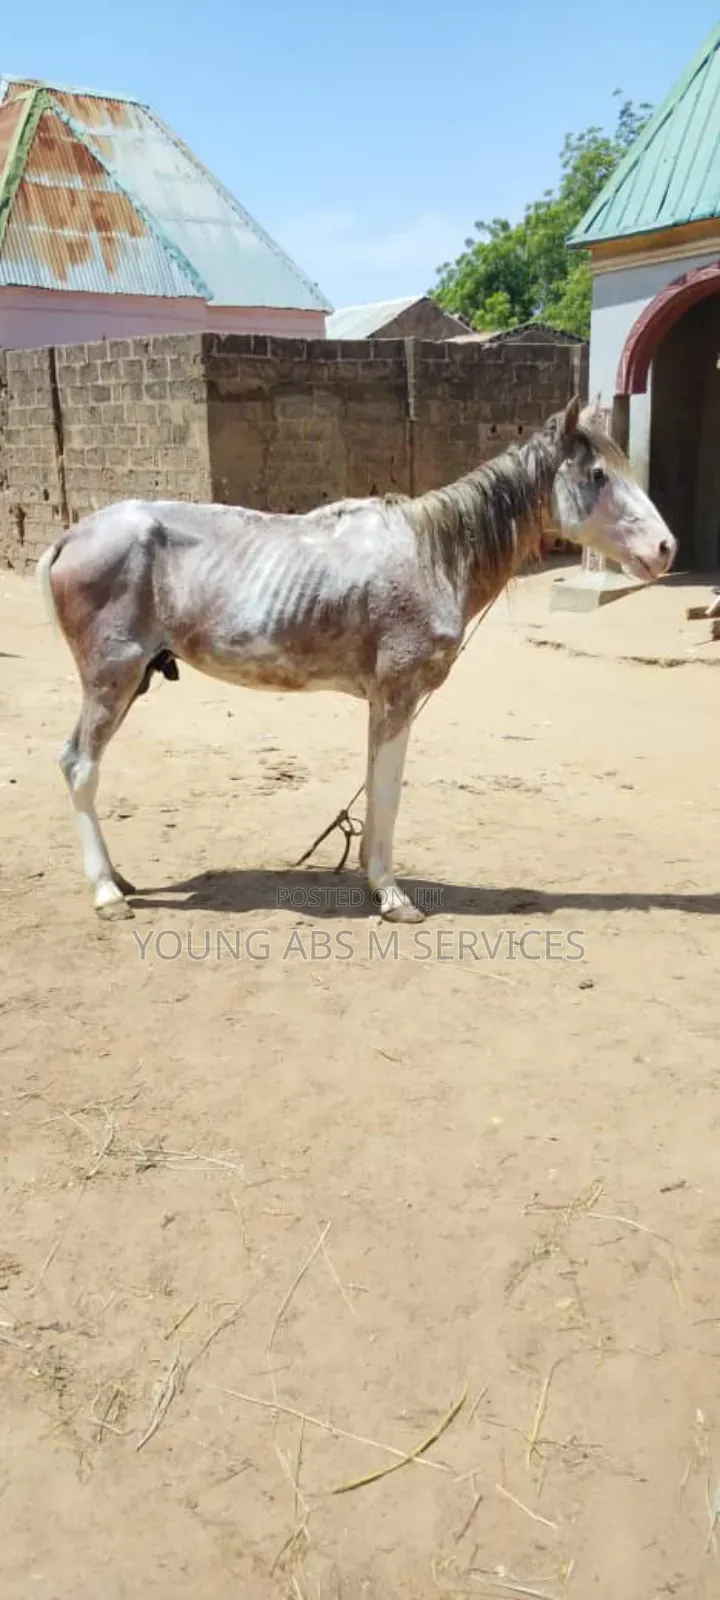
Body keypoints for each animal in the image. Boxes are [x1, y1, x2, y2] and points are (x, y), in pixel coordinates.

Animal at [36, 396, 676, 924]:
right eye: (597, 475)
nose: (666, 549)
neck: (432, 555)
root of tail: (74, 537)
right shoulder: (397, 694)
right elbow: (388, 791)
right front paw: (392, 897)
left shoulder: (383, 702)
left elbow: (373, 785)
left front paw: (372, 877)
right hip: (111, 679)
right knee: (79, 766)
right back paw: (107, 894)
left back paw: (118, 878)